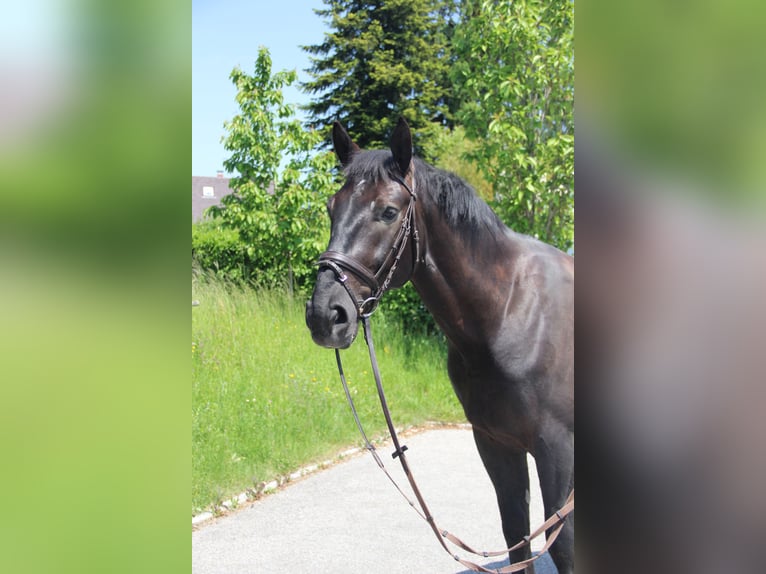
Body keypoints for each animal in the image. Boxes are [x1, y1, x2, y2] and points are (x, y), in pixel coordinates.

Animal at [306, 119, 576, 572]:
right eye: (331, 207)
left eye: (389, 211)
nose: (326, 314)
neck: (512, 310)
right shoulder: (495, 442)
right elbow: (517, 537)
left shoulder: (559, 450)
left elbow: (563, 544)